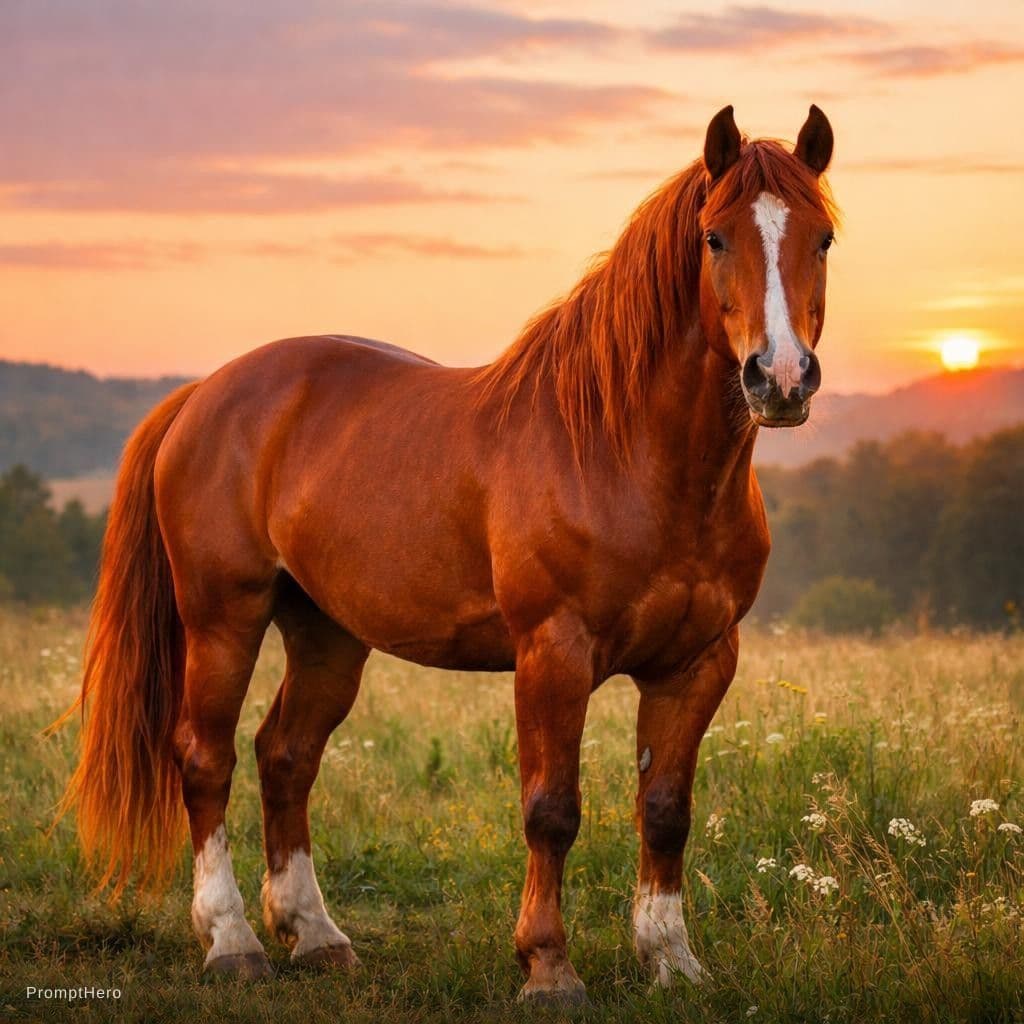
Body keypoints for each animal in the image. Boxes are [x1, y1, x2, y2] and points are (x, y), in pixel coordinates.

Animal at [57, 104, 837, 1003]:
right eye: (714, 237)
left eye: (821, 238)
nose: (781, 378)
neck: (626, 453)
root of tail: (203, 394)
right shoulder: (552, 654)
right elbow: (551, 809)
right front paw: (548, 967)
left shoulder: (698, 663)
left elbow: (667, 809)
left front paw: (672, 960)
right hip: (224, 620)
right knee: (205, 758)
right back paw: (231, 942)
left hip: (326, 633)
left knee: (285, 756)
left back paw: (315, 934)